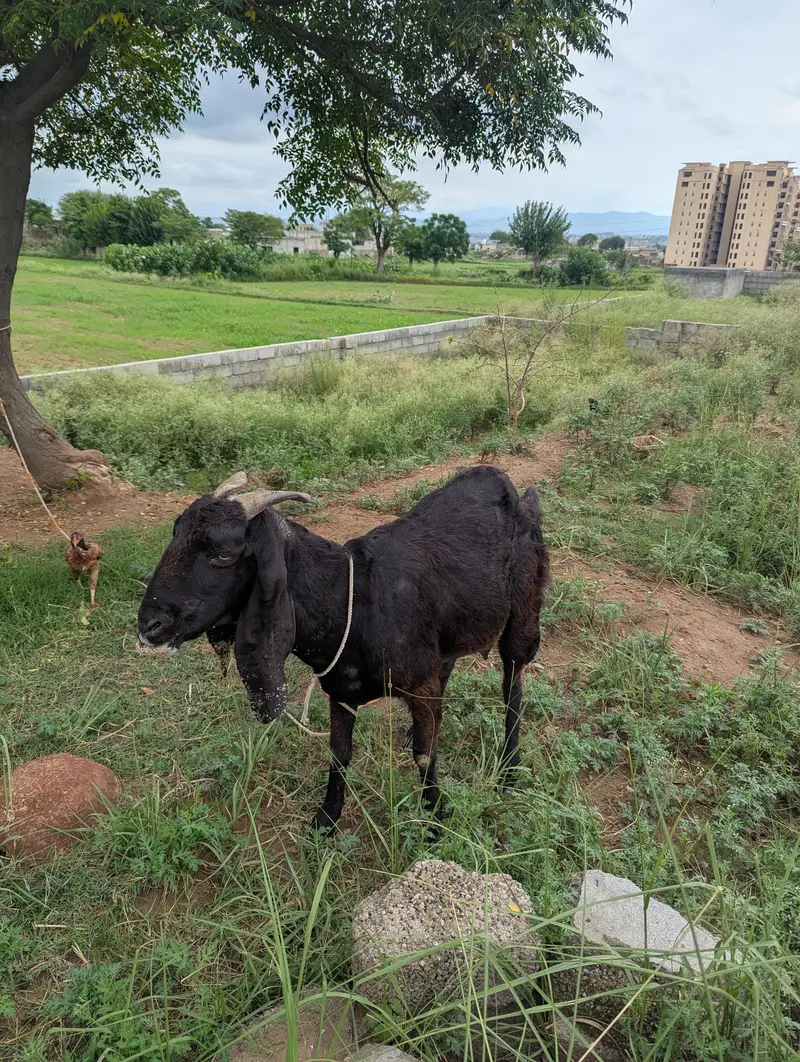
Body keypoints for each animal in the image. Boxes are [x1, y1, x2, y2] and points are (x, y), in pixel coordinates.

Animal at [138, 467, 549, 830]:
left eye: (224, 554)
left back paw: (509, 769)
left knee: (513, 684)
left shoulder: (419, 683)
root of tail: (514, 493)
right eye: (174, 533)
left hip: (523, 615)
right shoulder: (340, 689)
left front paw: (435, 819)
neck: (348, 597)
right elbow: (340, 753)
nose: (149, 625)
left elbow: (424, 755)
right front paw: (326, 820)